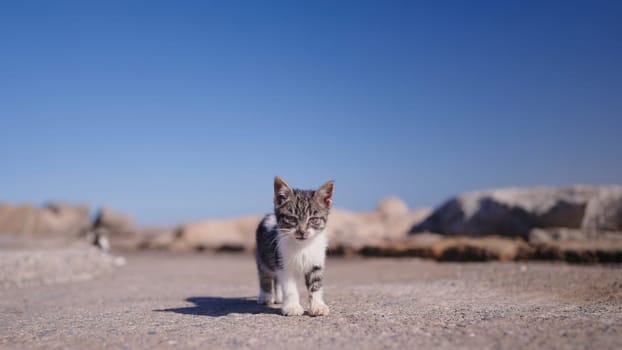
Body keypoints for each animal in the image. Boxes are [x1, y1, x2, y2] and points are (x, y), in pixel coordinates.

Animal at [255, 176, 336, 316]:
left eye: (313, 219)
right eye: (292, 218)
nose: (302, 231)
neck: (302, 246)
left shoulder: (316, 262)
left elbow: (316, 284)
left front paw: (318, 306)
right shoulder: (283, 263)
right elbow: (289, 288)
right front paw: (292, 307)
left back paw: (279, 298)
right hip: (263, 256)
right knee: (264, 275)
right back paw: (265, 296)